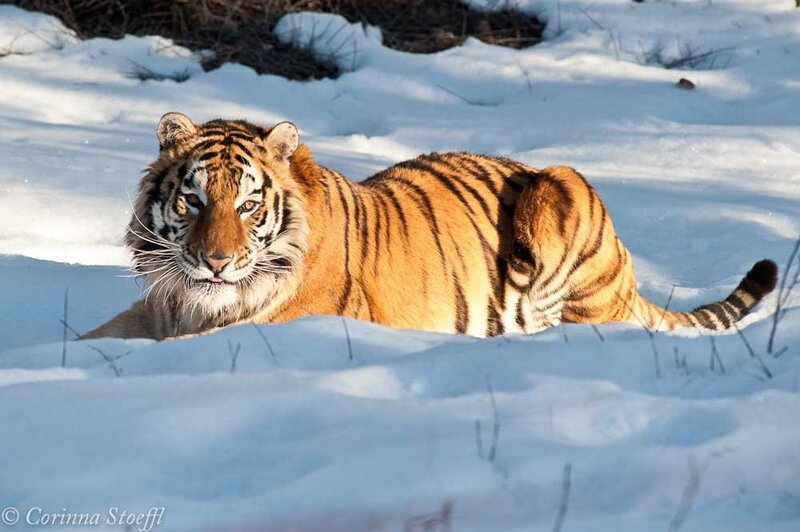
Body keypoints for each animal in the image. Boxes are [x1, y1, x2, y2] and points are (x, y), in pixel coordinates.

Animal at [84, 112, 778, 340]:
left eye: (248, 206)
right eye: (193, 201)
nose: (217, 262)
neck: (197, 305)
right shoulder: (155, 308)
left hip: (560, 188)